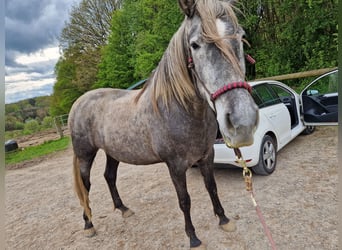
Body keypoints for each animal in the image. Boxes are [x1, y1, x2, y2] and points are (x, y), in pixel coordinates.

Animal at [68, 0, 258, 249]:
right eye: (195, 45)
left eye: (241, 37)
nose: (242, 121)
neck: (180, 110)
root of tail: (79, 102)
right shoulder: (175, 166)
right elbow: (184, 200)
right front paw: (193, 237)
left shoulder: (206, 156)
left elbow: (212, 187)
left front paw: (224, 219)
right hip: (85, 155)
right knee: (86, 186)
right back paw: (89, 224)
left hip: (113, 152)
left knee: (109, 177)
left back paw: (123, 209)